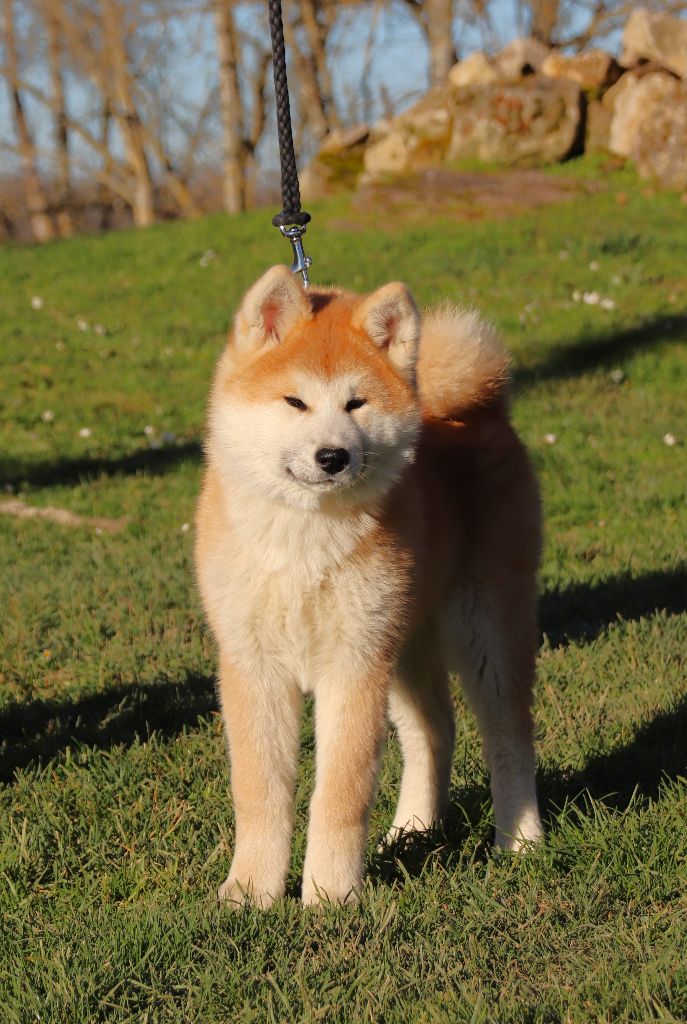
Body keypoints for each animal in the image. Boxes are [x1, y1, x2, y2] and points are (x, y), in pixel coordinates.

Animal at [194, 262, 544, 905]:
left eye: (356, 403)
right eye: (296, 401)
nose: (332, 456)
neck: (304, 542)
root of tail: (482, 411)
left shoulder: (353, 664)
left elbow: (340, 794)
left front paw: (329, 895)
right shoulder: (254, 665)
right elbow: (259, 793)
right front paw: (251, 891)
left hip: (482, 627)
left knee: (508, 736)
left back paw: (521, 840)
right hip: (403, 642)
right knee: (435, 728)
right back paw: (412, 830)